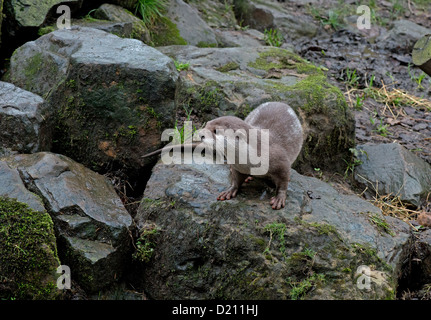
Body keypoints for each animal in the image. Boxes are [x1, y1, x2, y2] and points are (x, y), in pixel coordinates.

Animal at [143, 101, 304, 209]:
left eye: (216, 131)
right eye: (207, 124)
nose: (200, 134)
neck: (251, 158)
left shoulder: (281, 162)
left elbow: (283, 181)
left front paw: (279, 198)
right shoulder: (238, 166)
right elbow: (236, 179)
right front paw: (230, 190)